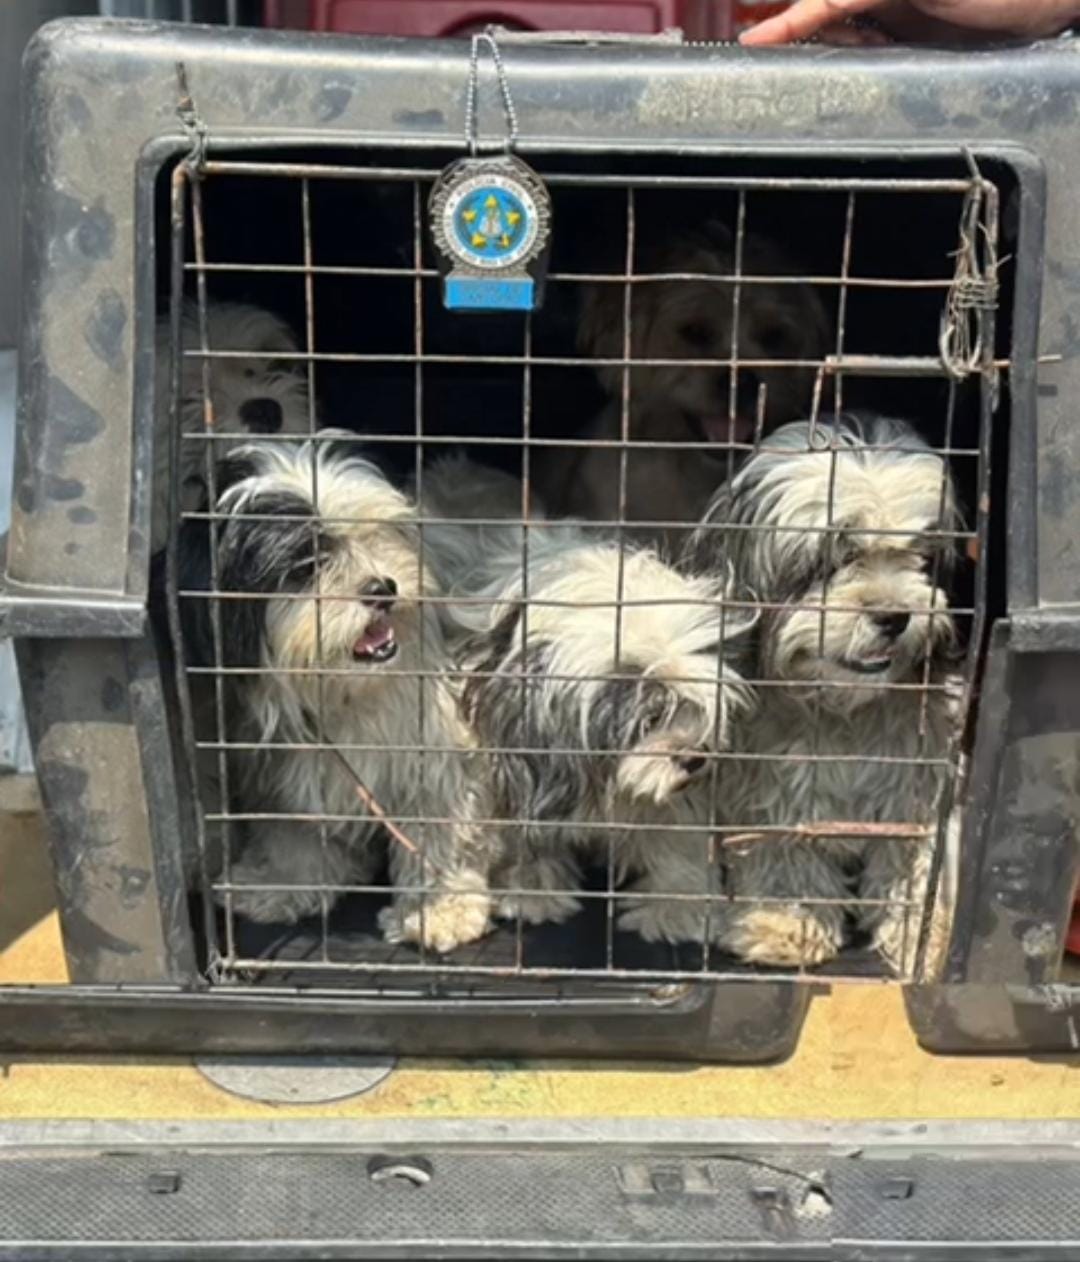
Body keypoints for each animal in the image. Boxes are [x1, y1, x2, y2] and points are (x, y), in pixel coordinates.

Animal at [177, 429, 497, 949]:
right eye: (307, 565)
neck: (344, 694)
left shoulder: (439, 748)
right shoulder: (283, 767)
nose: (382, 587)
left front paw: (440, 907)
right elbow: (294, 834)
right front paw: (282, 883)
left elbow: (440, 828)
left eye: (372, 534)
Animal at [456, 535, 751, 949]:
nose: (695, 757)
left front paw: (676, 910)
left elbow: (677, 833)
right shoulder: (519, 763)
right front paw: (530, 891)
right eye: (650, 719)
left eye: (693, 708)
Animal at [686, 408, 958, 969]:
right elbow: (784, 850)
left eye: (919, 556)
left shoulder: (920, 777)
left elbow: (917, 855)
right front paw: (787, 923)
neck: (840, 711)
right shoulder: (767, 788)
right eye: (830, 558)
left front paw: (922, 934)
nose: (895, 616)